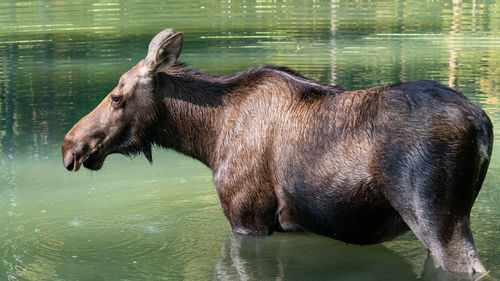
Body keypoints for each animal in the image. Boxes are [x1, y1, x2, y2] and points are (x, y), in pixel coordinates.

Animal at [61, 29, 492, 276]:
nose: (69, 146)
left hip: (436, 218)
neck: (206, 139)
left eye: (117, 97)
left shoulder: (247, 218)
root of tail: (482, 124)